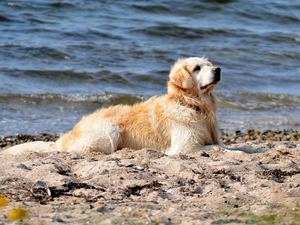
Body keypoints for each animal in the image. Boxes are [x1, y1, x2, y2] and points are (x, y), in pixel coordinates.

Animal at [1, 57, 270, 155]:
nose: (219, 69)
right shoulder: (185, 147)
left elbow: (236, 146)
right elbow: (220, 148)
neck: (195, 106)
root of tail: (62, 138)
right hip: (109, 131)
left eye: (210, 64)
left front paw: (255, 150)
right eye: (197, 68)